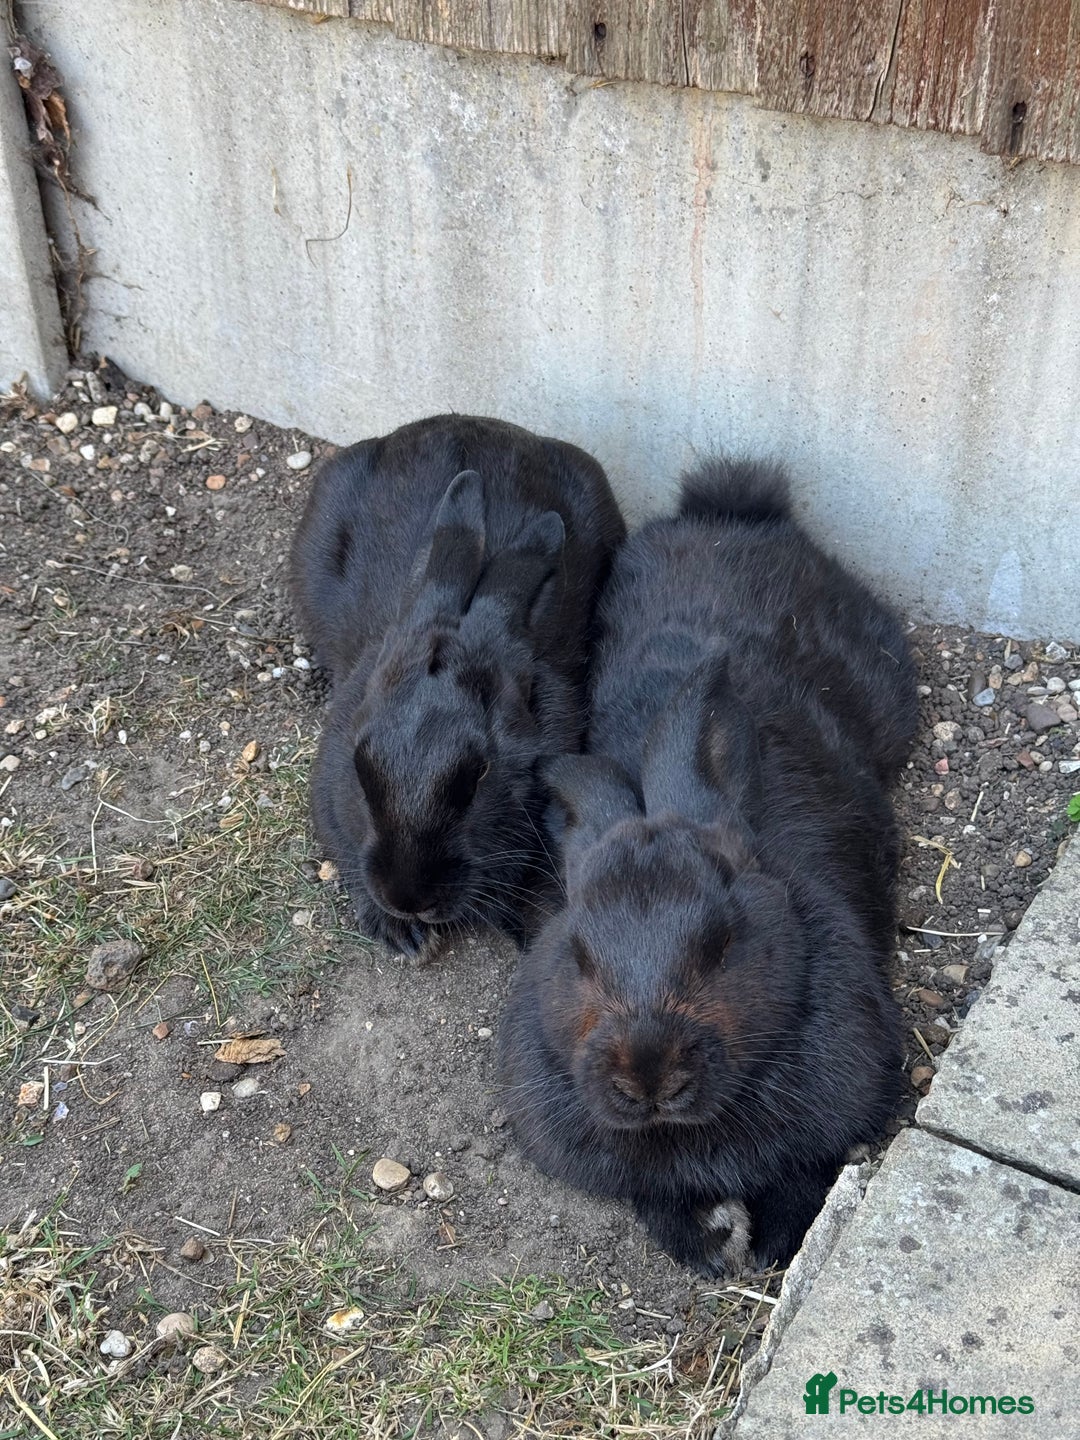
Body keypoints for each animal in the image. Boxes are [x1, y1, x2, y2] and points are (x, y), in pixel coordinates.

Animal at [499, 459, 915, 1274]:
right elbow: (656, 1200)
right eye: (580, 955)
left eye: (720, 945)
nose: (648, 1075)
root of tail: (728, 514)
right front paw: (708, 1248)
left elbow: (807, 1179)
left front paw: (771, 1250)